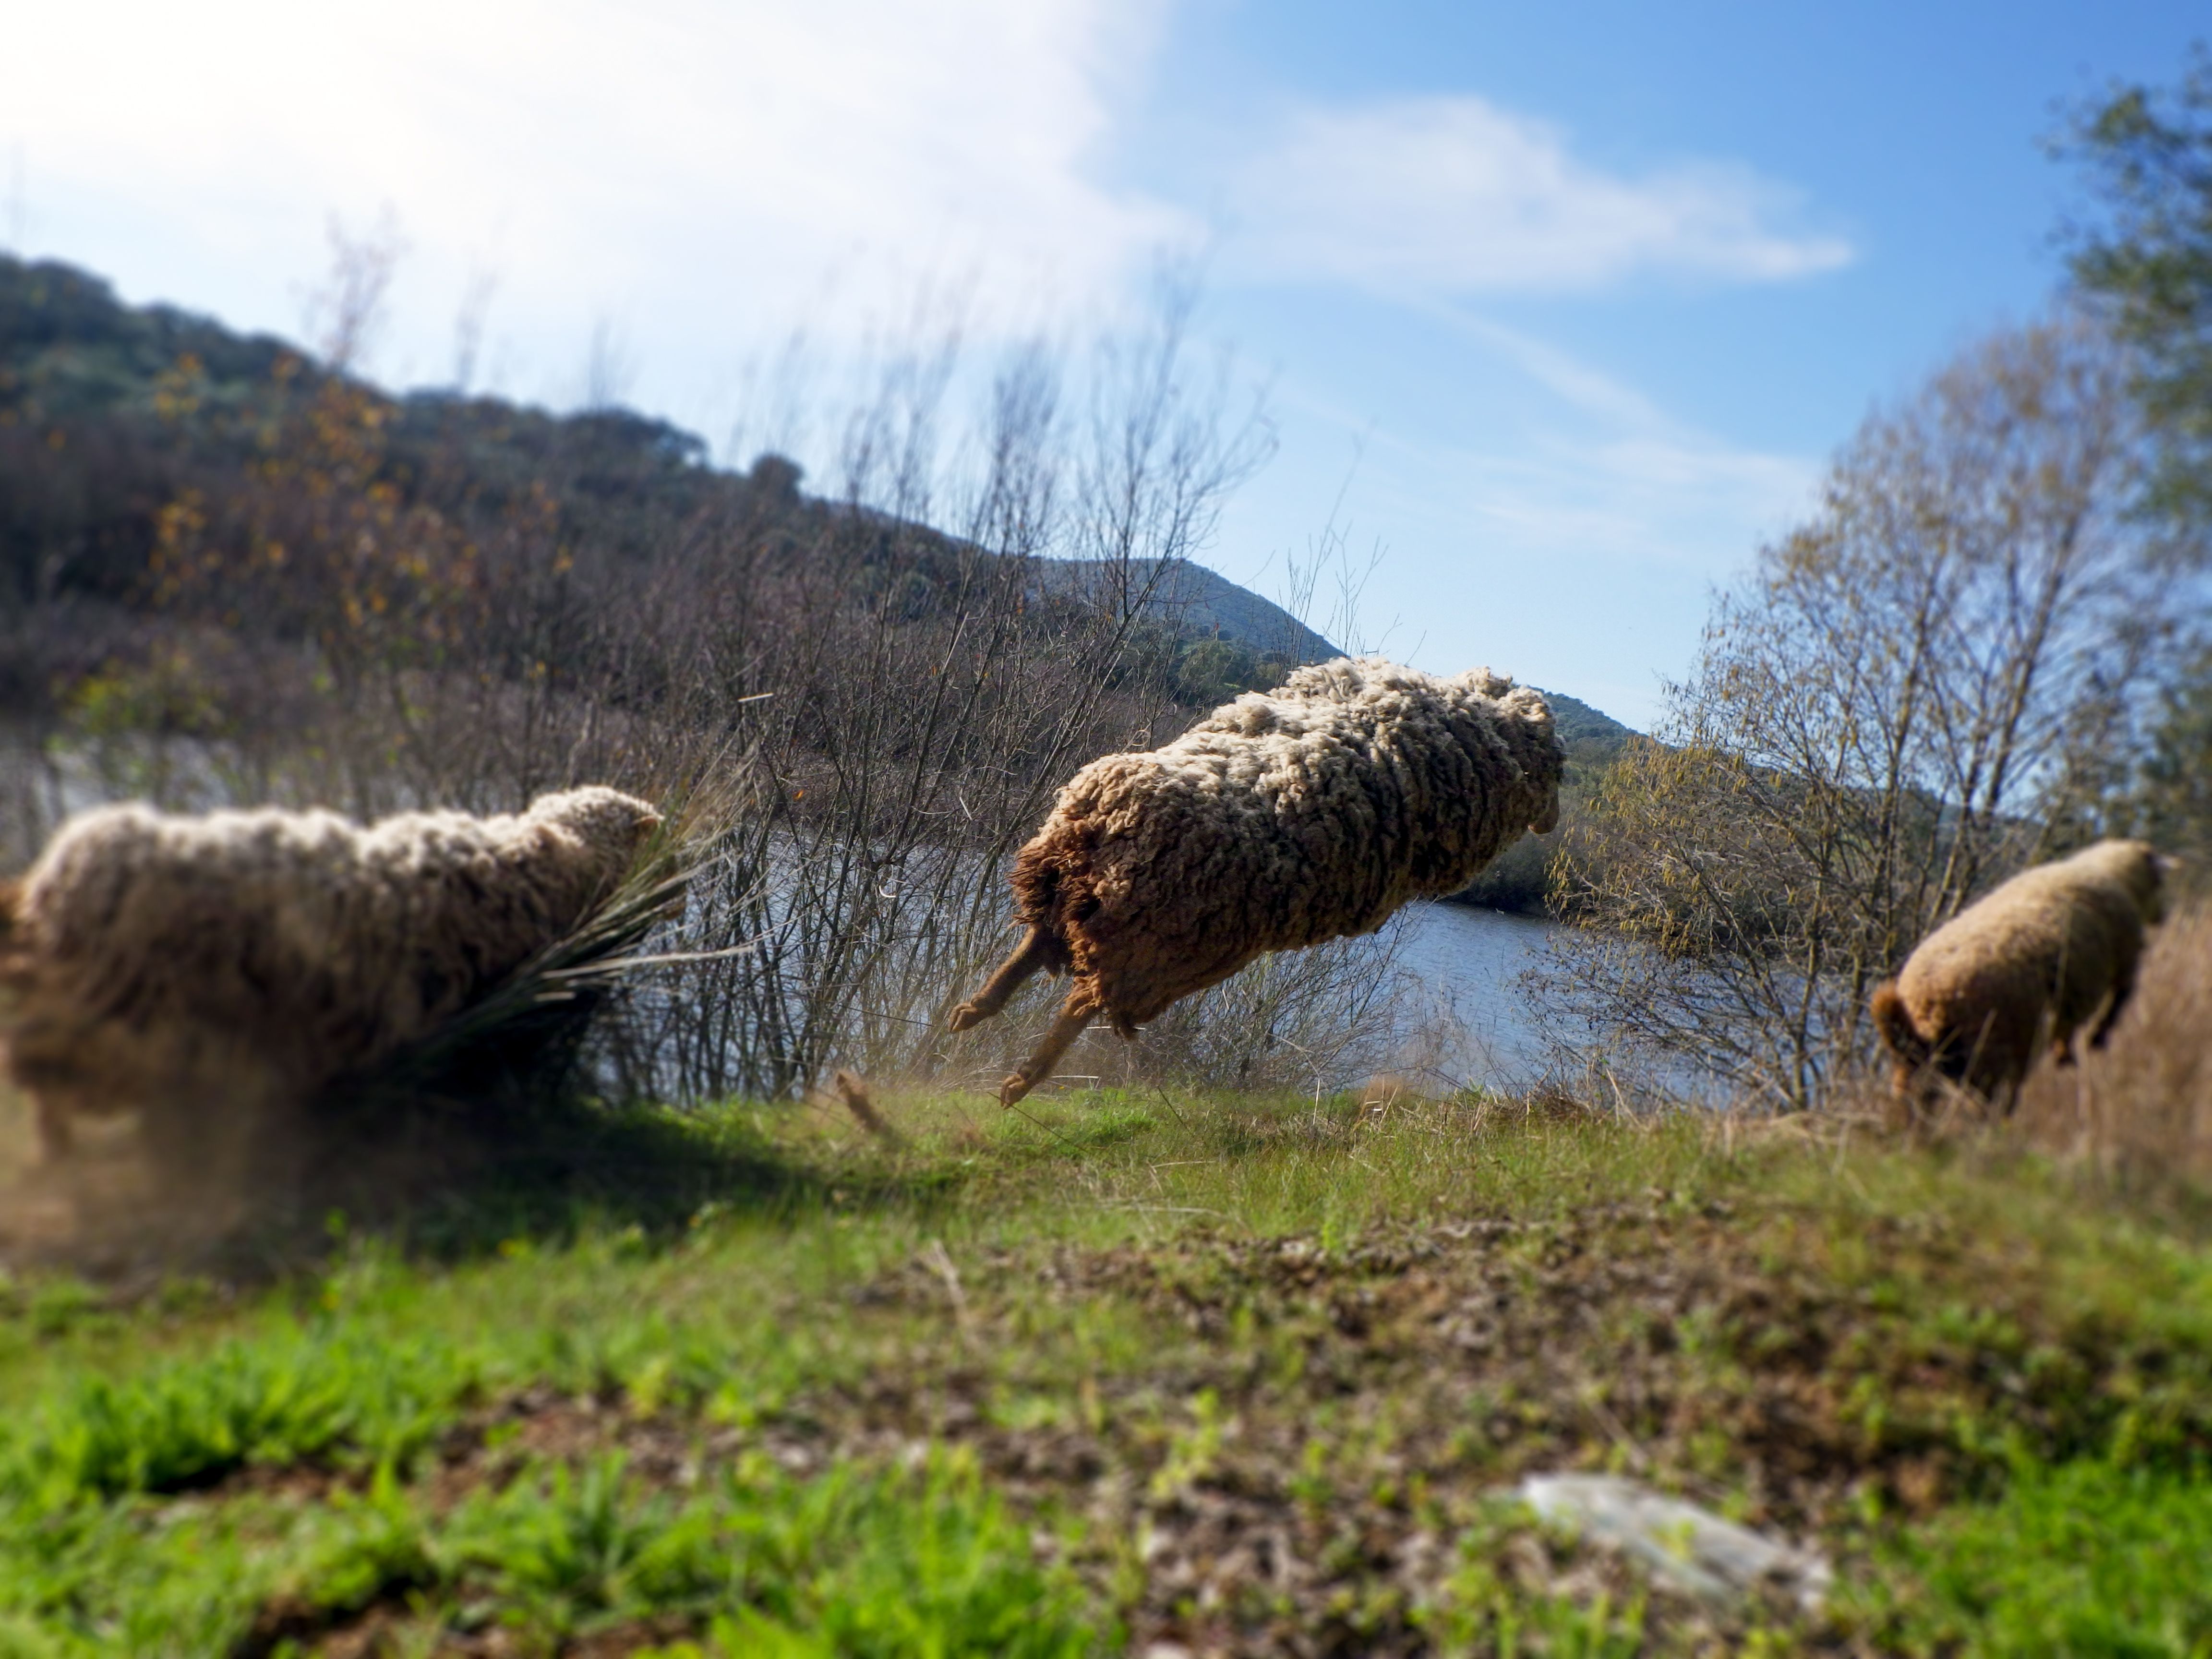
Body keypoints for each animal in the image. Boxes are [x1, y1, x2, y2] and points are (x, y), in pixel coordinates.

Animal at [947, 659, 1557, 1106]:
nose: (1548, 821)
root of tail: (1104, 825)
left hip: (1090, 898)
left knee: (1042, 946)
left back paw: (975, 1013)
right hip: (1148, 943)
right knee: (1079, 998)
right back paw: (1018, 1076)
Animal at [1875, 836, 2167, 1123]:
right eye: (2160, 880)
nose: (2163, 918)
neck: (2112, 875)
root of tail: (1925, 1008)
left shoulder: (2066, 1005)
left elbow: (2067, 1036)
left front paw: (2067, 1060)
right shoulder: (2125, 962)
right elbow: (2117, 1004)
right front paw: (2096, 1041)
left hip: (1914, 1063)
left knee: (1912, 1101)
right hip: (1991, 1058)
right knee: (1990, 1108)